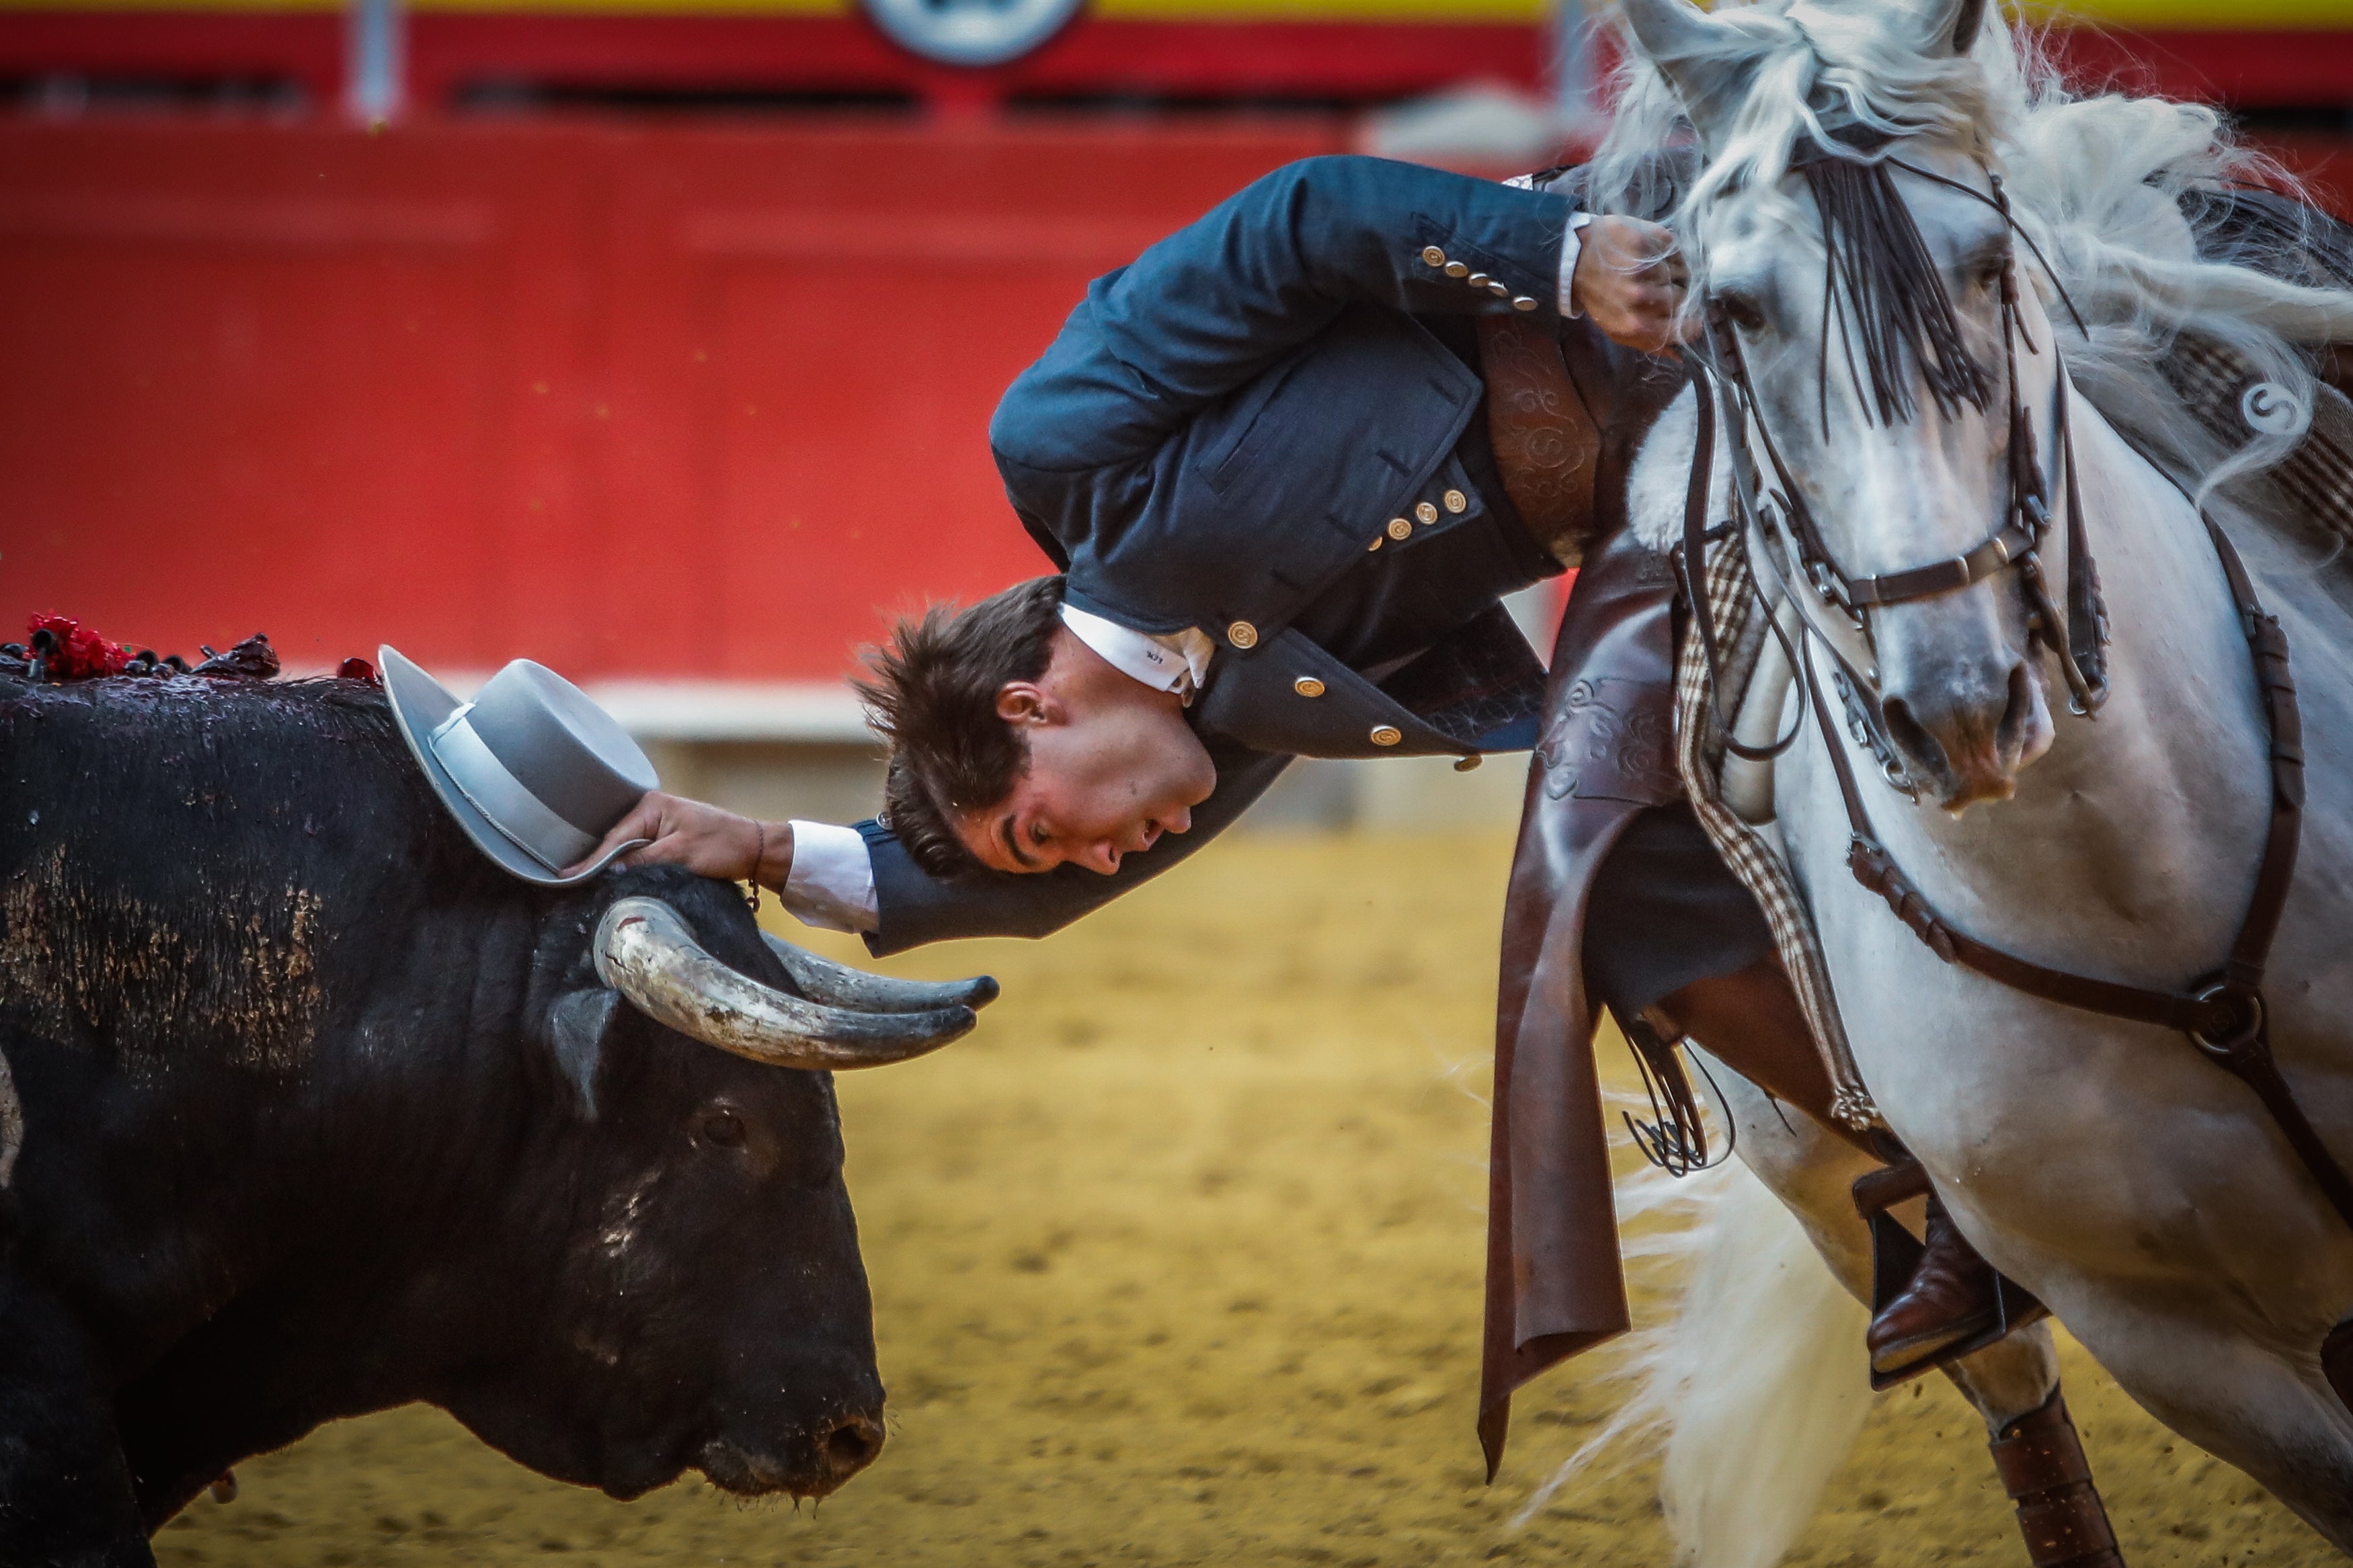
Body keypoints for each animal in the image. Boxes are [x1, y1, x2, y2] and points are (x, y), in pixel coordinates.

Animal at [1544, 0, 2353, 1551]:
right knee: (2010, 1383)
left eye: (1987, 264)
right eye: (1734, 308)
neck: (2143, 895)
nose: (1960, 701)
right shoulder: (2176, 1340)